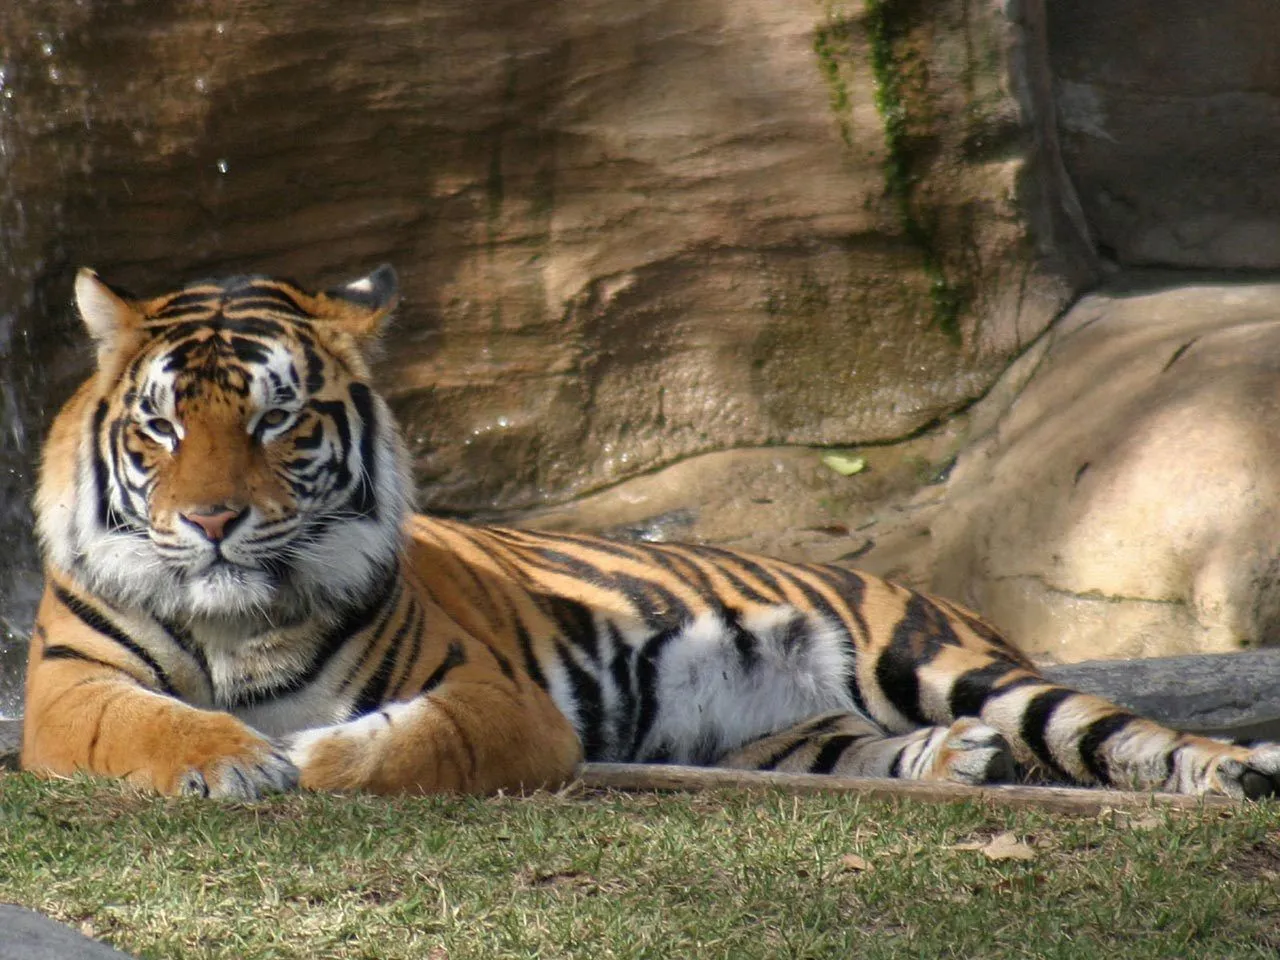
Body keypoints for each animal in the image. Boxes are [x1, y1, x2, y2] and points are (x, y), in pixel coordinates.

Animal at [17, 267, 1280, 798]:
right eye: (163, 427)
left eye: (277, 421)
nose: (213, 521)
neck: (239, 623)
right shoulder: (67, 688)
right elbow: (147, 724)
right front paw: (234, 760)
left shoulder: (487, 696)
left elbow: (395, 744)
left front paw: (306, 756)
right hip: (781, 734)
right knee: (861, 749)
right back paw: (951, 763)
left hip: (940, 659)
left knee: (1115, 730)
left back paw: (1229, 771)